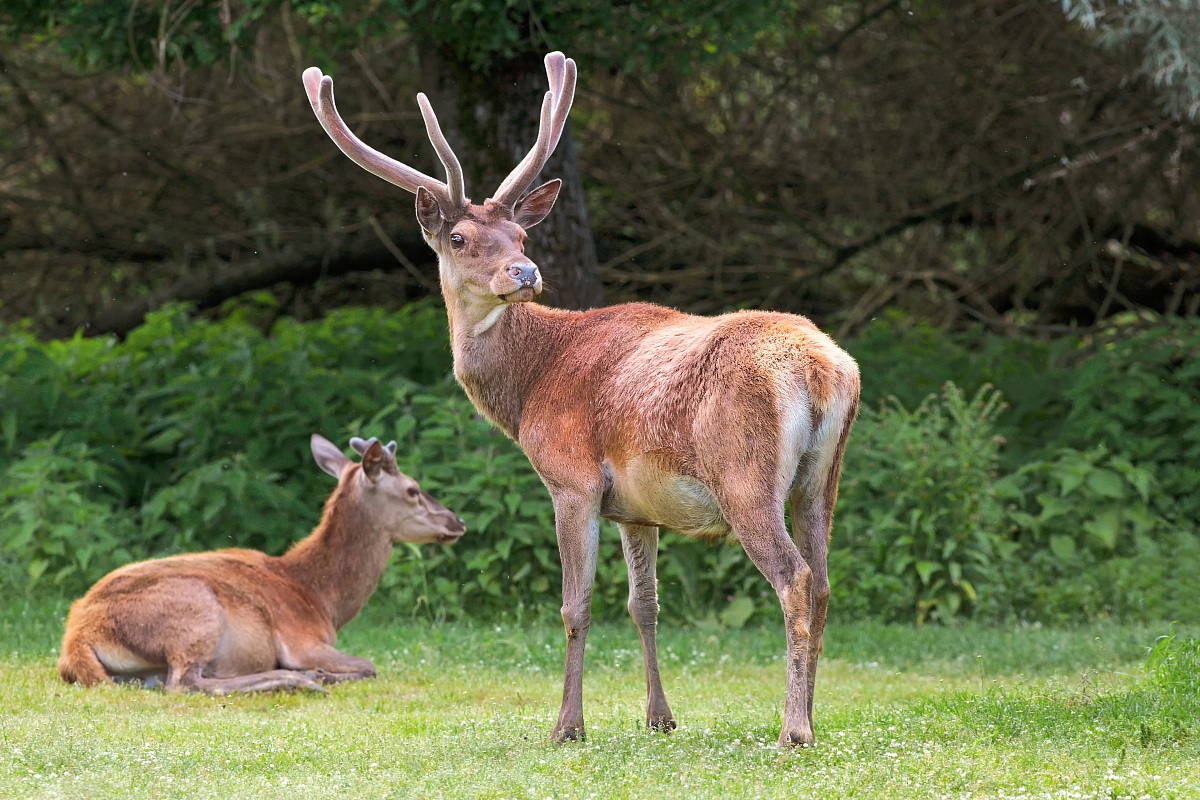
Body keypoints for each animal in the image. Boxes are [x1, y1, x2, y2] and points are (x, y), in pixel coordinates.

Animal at [58, 435, 465, 694]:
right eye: (413, 489)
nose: (457, 521)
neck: (323, 600)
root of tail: (75, 640)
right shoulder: (301, 640)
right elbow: (370, 665)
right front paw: (317, 672)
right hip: (195, 610)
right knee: (184, 682)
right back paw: (299, 680)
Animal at [301, 52, 859, 747]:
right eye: (460, 238)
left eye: (519, 234)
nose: (525, 272)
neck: (531, 386)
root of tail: (822, 368)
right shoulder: (638, 509)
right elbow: (644, 606)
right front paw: (659, 717)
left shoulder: (570, 478)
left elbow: (575, 605)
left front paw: (567, 725)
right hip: (821, 477)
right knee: (826, 582)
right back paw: (811, 717)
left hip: (745, 475)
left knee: (795, 579)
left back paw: (793, 729)